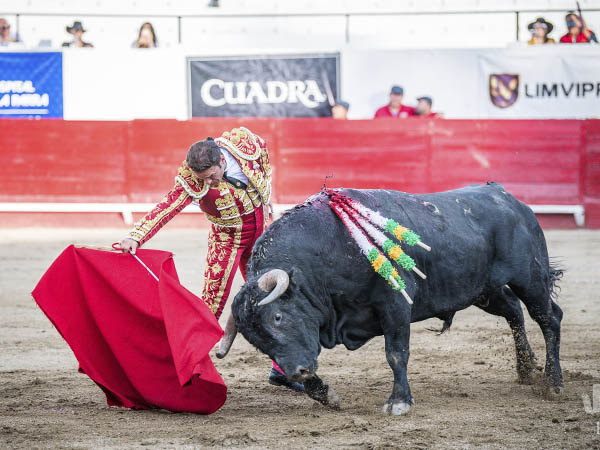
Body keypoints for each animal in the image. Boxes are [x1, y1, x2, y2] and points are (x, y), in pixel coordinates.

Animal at [218, 183, 564, 414]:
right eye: (255, 341)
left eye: (277, 317)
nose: (297, 371)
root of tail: (509, 198)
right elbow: (300, 372)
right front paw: (327, 394)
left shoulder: (395, 306)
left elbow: (396, 354)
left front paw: (399, 402)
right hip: (482, 290)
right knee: (514, 311)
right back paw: (525, 370)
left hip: (530, 278)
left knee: (549, 318)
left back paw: (554, 382)